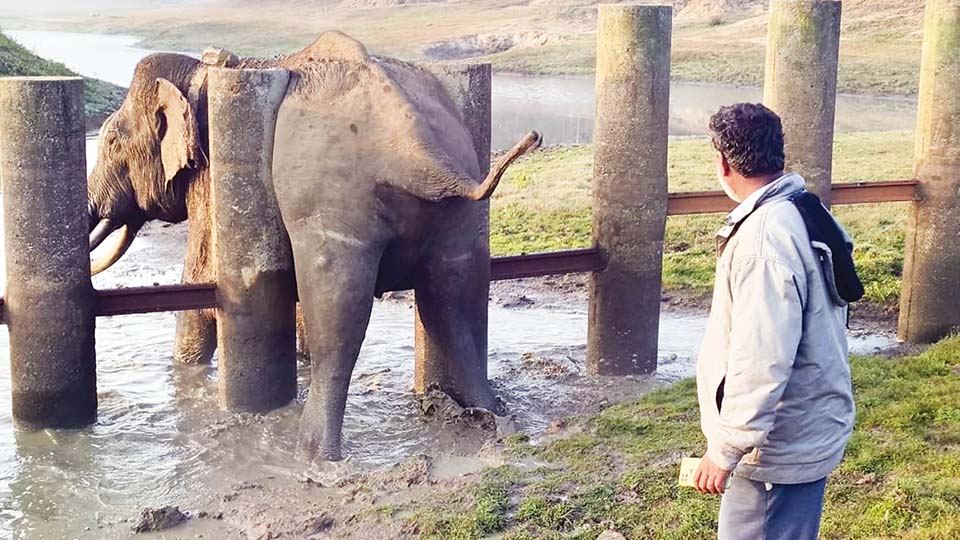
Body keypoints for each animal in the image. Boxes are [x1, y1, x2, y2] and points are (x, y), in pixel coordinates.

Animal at [84, 31, 540, 460]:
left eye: (112, 142)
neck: (203, 73)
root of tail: (421, 150)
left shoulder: (210, 180)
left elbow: (201, 279)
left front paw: (186, 369)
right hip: (457, 200)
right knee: (450, 298)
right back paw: (496, 417)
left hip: (336, 204)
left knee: (340, 314)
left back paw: (312, 453)